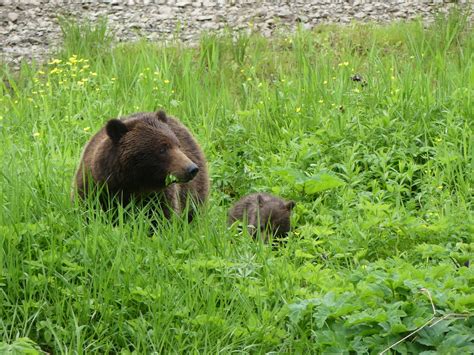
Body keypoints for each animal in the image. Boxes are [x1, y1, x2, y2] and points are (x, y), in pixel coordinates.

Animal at [72, 110, 209, 221]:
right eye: (162, 148)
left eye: (178, 145)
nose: (192, 168)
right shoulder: (95, 186)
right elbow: (88, 210)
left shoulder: (159, 195)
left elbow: (162, 217)